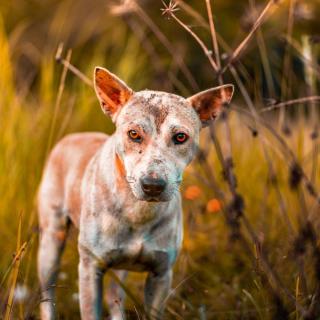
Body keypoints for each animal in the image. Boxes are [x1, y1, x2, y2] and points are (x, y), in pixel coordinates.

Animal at [37, 66, 234, 318]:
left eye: (180, 137)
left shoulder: (161, 274)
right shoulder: (90, 269)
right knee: (48, 290)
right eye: (133, 134)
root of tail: (73, 136)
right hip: (51, 242)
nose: (153, 185)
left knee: (115, 295)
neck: (137, 211)